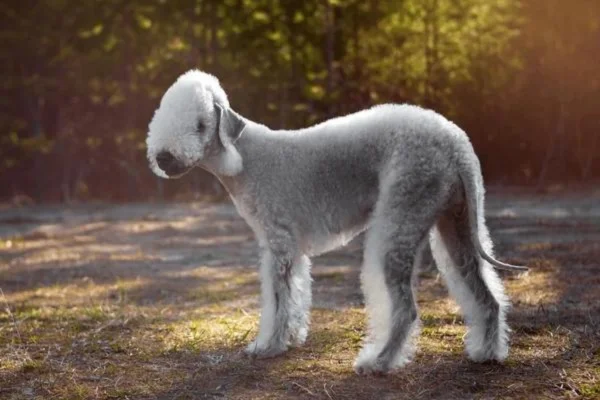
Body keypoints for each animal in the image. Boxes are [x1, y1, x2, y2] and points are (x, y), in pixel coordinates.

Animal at [146, 69, 524, 376]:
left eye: (200, 125)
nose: (163, 158)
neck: (245, 159)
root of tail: (457, 146)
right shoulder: (293, 250)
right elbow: (296, 295)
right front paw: (292, 338)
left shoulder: (278, 243)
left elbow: (277, 300)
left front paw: (268, 346)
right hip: (457, 224)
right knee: (487, 295)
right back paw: (487, 352)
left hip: (401, 217)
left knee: (406, 309)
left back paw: (379, 362)